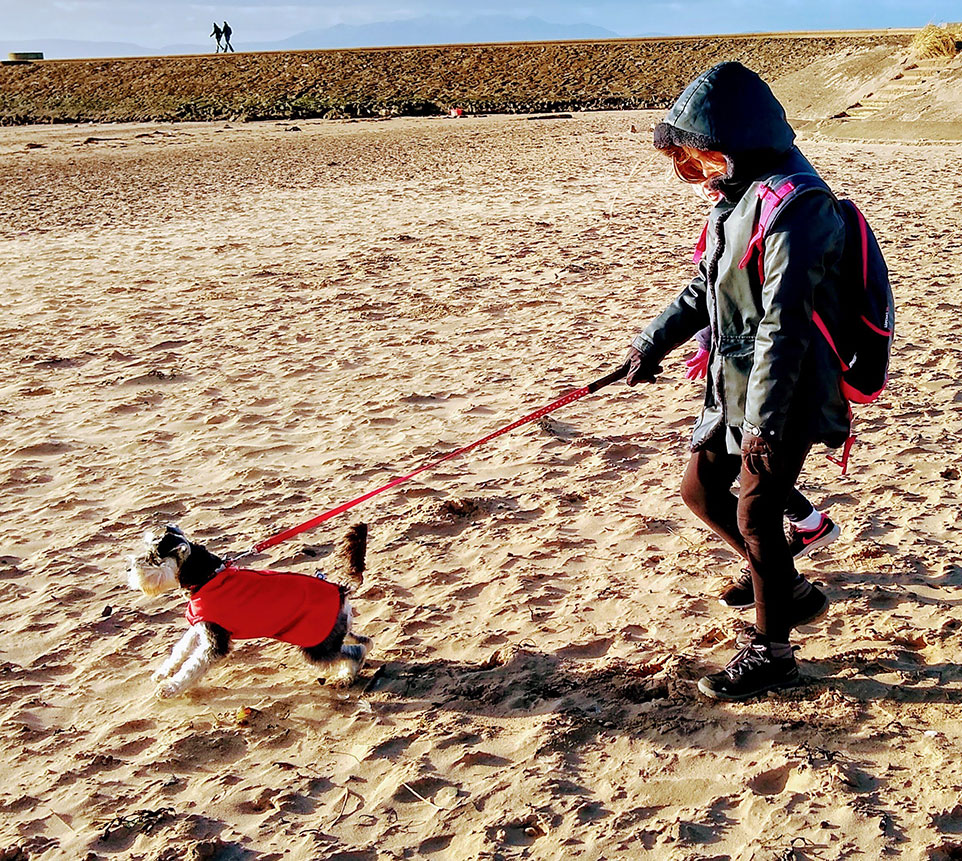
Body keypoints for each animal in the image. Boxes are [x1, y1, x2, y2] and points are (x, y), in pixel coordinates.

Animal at [124, 520, 372, 696]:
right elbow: (181, 649)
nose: (129, 570)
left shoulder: (214, 642)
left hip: (316, 648)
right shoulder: (201, 627)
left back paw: (346, 677)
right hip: (332, 633)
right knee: (362, 641)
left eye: (153, 558)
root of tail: (340, 589)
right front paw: (162, 673)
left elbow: (192, 666)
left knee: (355, 651)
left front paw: (170, 688)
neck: (205, 576)